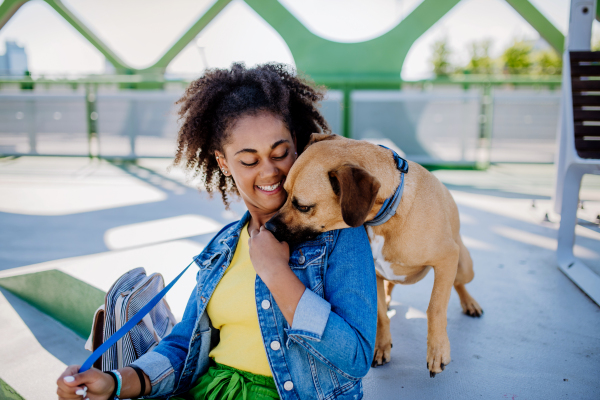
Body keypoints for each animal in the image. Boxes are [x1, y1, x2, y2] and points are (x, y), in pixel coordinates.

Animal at [268, 133, 482, 376]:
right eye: (284, 193)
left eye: (303, 207)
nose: (268, 227)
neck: (388, 214)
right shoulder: (373, 273)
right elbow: (380, 314)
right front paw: (381, 346)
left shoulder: (446, 258)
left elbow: (435, 307)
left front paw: (437, 351)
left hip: (463, 266)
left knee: (458, 282)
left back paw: (470, 303)